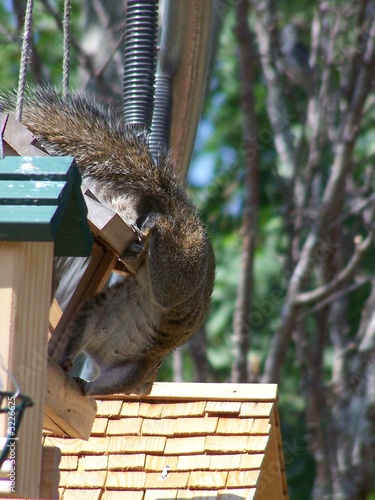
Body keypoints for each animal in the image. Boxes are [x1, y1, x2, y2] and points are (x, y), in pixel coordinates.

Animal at [0, 87, 216, 398]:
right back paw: (151, 225)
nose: (144, 391)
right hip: (177, 275)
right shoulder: (134, 369)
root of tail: (186, 218)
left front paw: (84, 385)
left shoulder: (131, 370)